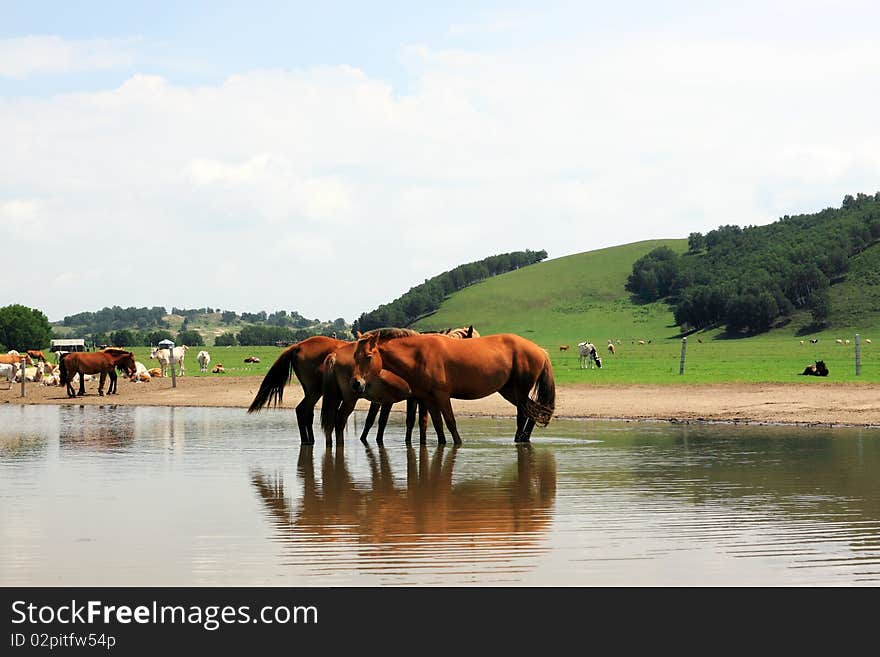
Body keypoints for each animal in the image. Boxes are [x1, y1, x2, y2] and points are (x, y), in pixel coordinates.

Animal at [352, 330, 552, 444]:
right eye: (355, 356)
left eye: (368, 356)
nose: (357, 383)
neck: (418, 355)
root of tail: (539, 350)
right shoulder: (427, 398)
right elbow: (438, 425)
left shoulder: (441, 395)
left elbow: (450, 422)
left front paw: (458, 444)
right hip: (509, 391)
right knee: (534, 410)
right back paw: (523, 438)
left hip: (520, 390)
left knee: (527, 412)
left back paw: (521, 438)